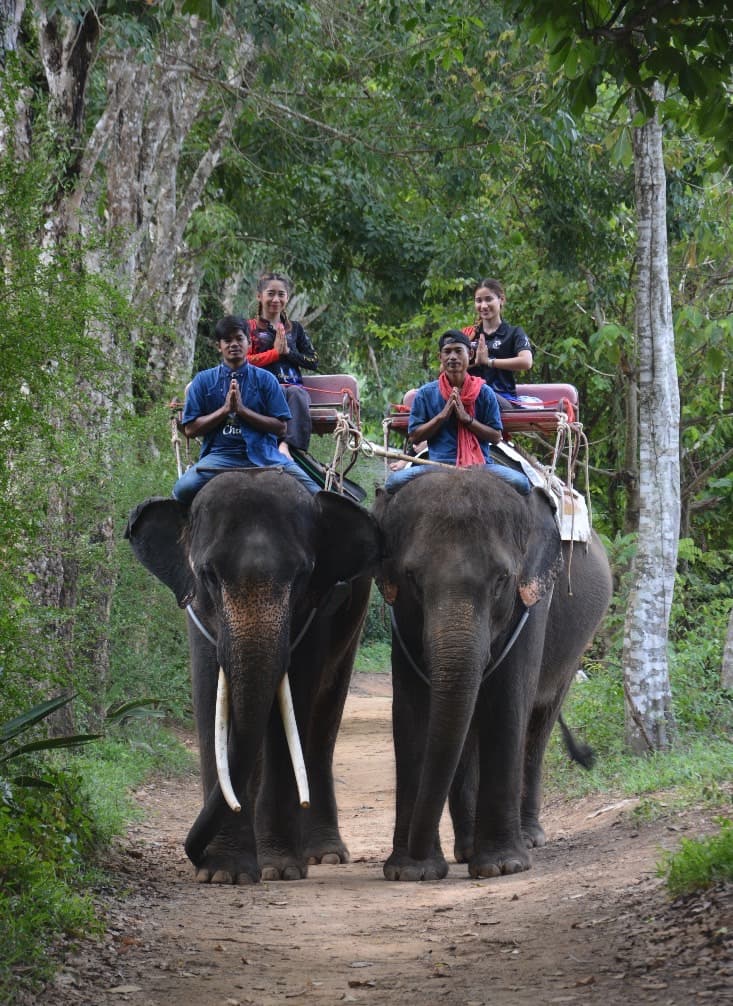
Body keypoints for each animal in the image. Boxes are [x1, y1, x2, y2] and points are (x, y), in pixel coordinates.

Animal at [125, 468, 380, 884]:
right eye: (208, 575)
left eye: (302, 574)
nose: (193, 853)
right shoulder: (197, 608)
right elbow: (211, 698)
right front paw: (223, 874)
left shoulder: (318, 609)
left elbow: (292, 702)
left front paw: (278, 869)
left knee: (321, 722)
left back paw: (322, 855)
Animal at [372, 465, 612, 881]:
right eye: (412, 578)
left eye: (501, 579)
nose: (418, 846)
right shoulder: (400, 613)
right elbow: (413, 707)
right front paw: (412, 872)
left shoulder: (533, 598)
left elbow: (507, 698)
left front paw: (502, 867)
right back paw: (467, 849)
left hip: (575, 648)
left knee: (538, 723)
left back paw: (528, 838)